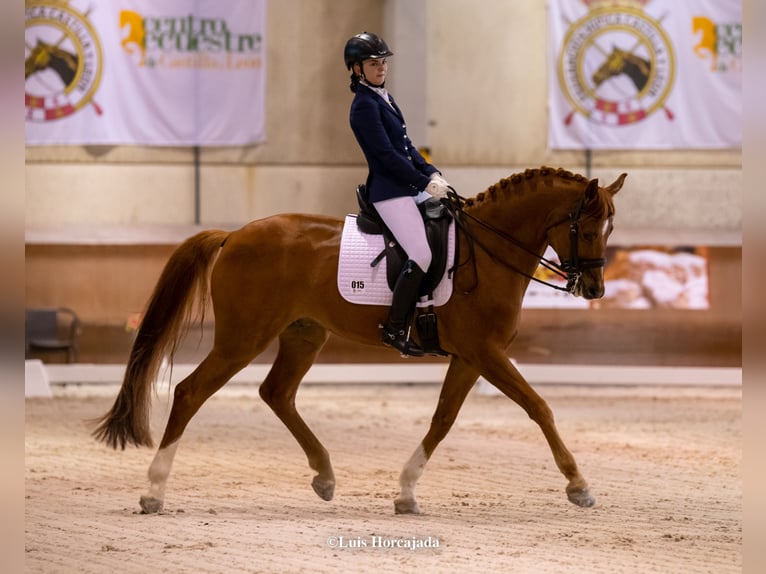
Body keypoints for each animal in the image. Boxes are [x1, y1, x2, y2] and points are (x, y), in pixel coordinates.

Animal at [92, 166, 626, 515]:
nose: (595, 289)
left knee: (276, 393)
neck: (488, 251)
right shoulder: (487, 353)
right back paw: (153, 492)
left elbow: (443, 419)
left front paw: (406, 492)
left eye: (610, 227)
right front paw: (579, 486)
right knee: (190, 392)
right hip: (242, 338)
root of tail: (234, 235)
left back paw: (324, 476)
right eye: (585, 228)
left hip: (304, 334)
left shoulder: (471, 357)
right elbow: (539, 407)